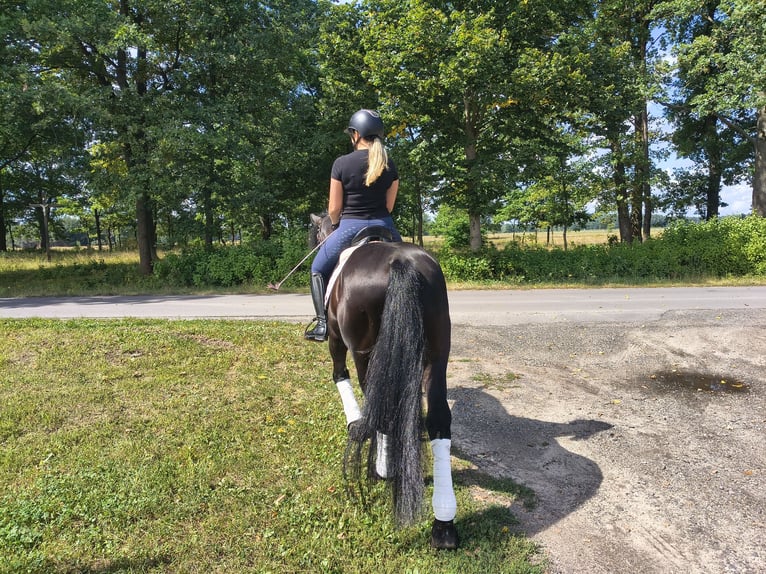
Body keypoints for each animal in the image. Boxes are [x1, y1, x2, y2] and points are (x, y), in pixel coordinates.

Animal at [309, 213, 459, 550]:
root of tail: (399, 262)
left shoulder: (336, 339)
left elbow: (339, 374)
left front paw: (355, 424)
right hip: (437, 353)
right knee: (438, 418)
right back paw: (444, 523)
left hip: (365, 352)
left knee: (380, 406)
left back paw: (382, 469)